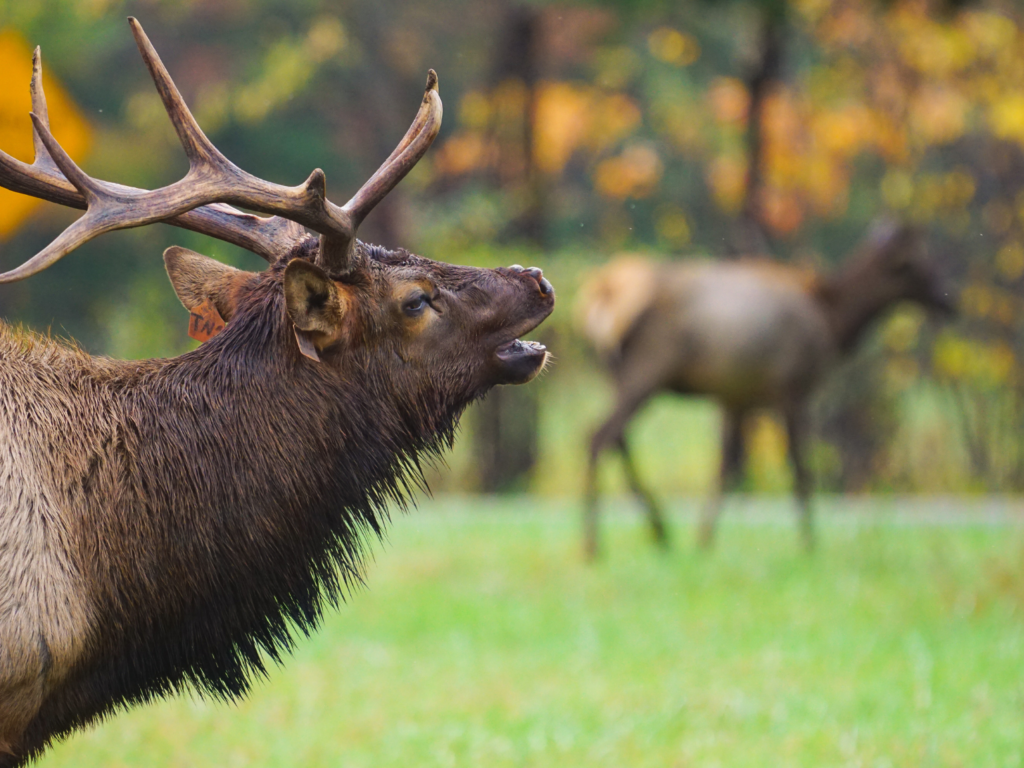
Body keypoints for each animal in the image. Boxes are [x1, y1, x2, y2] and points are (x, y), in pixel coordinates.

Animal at [581, 222, 954, 561]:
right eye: (918, 261)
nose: (949, 300)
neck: (832, 321)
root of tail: (602, 293)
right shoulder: (792, 388)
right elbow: (800, 468)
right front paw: (809, 544)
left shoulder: (735, 397)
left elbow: (727, 467)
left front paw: (704, 540)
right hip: (649, 369)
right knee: (599, 436)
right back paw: (597, 545)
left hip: (616, 374)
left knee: (615, 438)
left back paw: (658, 531)